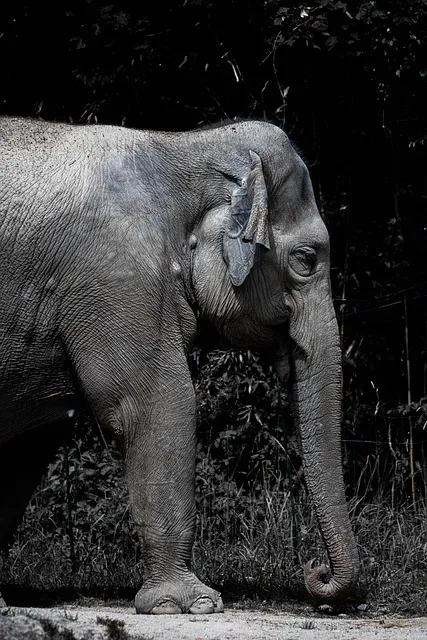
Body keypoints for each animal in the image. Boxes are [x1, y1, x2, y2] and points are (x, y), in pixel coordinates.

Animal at [0, 116, 359, 614]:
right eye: (306, 260)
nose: (315, 573)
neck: (183, 147)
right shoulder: (119, 279)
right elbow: (160, 403)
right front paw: (192, 604)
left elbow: (28, 442)